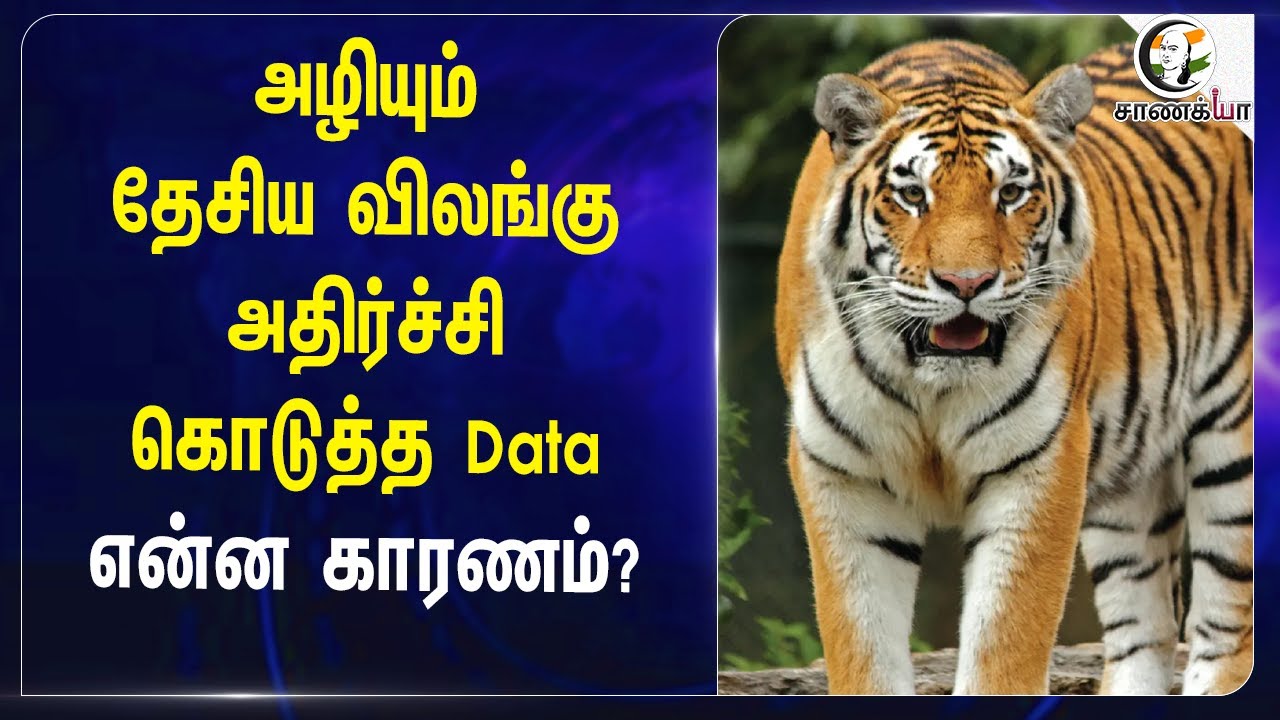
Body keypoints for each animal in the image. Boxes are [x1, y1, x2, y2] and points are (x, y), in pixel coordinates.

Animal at [775, 39, 1252, 695]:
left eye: (1010, 194)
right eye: (912, 195)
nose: (966, 283)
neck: (929, 385)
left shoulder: (1037, 470)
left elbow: (1004, 647)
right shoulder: (844, 477)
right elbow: (862, 650)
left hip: (1234, 441)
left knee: (1227, 620)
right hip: (1130, 478)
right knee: (1144, 626)